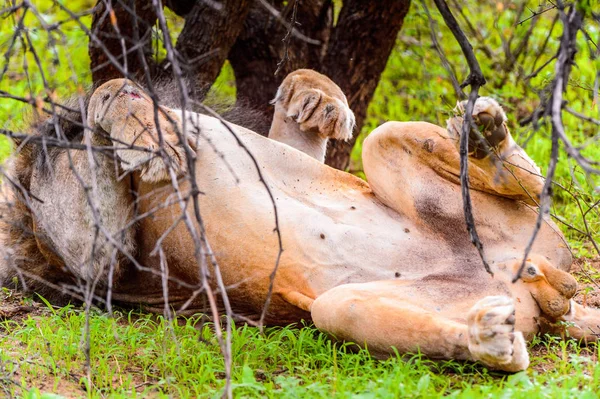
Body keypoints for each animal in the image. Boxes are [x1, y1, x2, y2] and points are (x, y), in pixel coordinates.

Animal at [1, 70, 600, 374]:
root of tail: (538, 278)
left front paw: (313, 98)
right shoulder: (97, 262)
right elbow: (102, 102)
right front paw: (135, 121)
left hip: (406, 158)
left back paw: (485, 135)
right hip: (344, 306)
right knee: (364, 315)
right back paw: (488, 338)